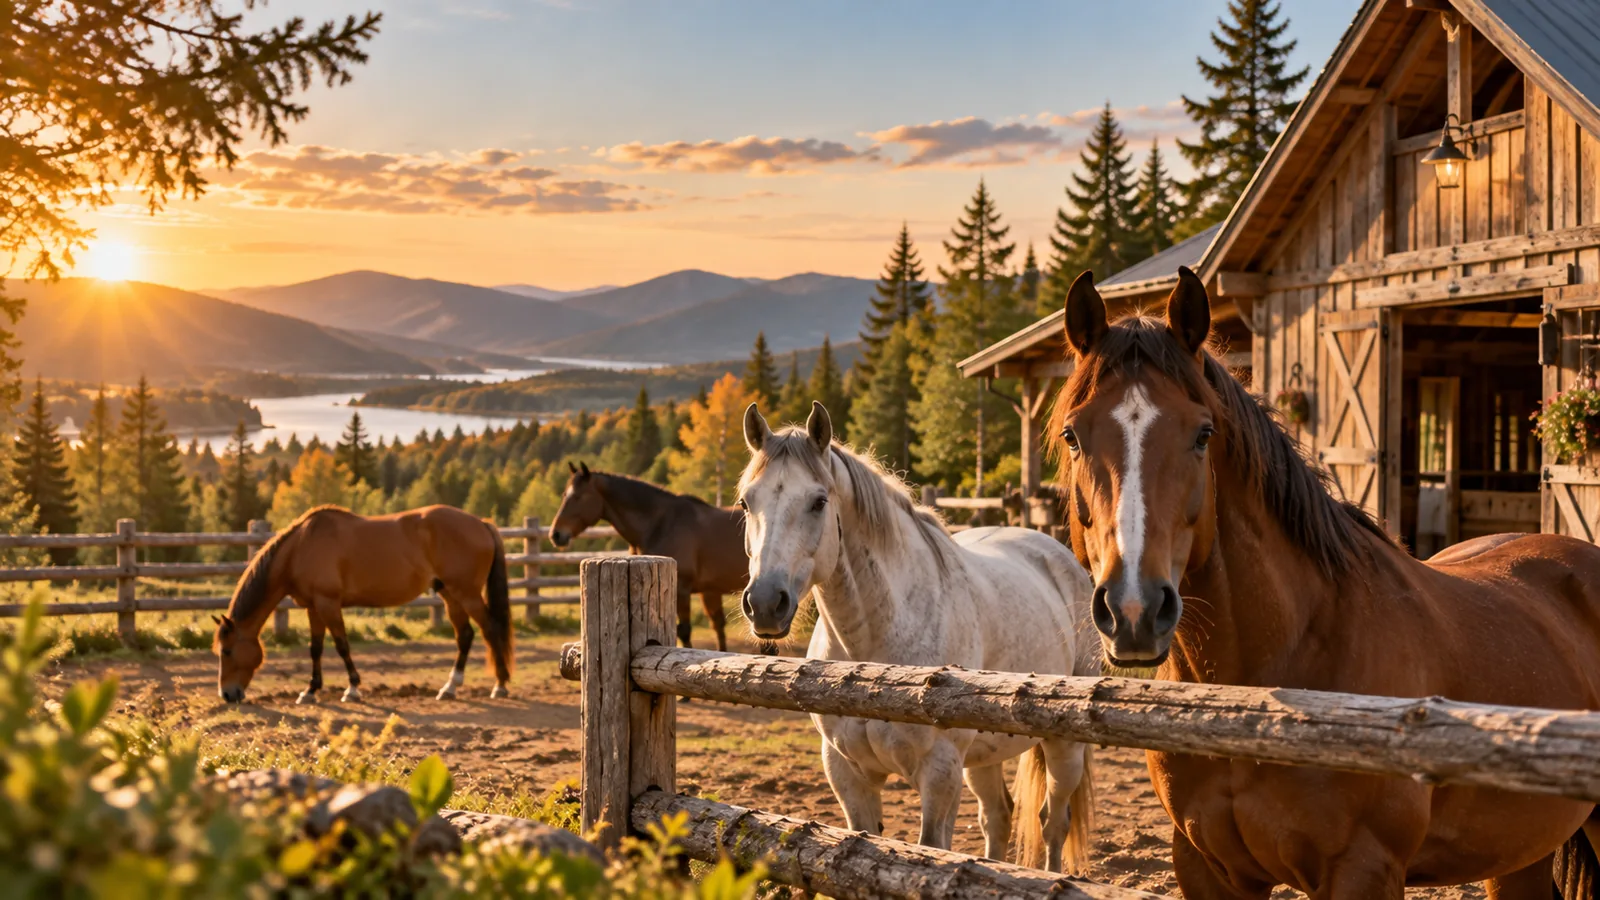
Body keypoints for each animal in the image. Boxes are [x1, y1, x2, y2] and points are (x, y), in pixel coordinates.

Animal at [213, 504, 513, 705]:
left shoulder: (328, 604)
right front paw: (310, 691)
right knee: (465, 635)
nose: (227, 694)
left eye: (227, 651)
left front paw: (352, 689)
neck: (300, 549)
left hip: (467, 593)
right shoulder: (313, 607)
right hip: (450, 594)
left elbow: (342, 645)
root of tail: (481, 523)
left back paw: (499, 685)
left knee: (490, 630)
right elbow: (315, 648)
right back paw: (450, 687)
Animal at [549, 462, 748, 651]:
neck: (660, 524)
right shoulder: (709, 591)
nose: (556, 534)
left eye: (578, 496)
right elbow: (718, 628)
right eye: (564, 495)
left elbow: (684, 631)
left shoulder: (682, 589)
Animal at [738, 401, 1099, 873]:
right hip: (982, 756)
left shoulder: (939, 772)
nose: (764, 603)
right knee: (998, 818)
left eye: (819, 501)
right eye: (746, 502)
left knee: (1054, 823)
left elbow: (933, 846)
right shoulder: (847, 773)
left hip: (1063, 747)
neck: (871, 666)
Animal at [1051, 266, 1600, 899]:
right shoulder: (1206, 867)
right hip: (1517, 853)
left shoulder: (1363, 871)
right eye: (1072, 436)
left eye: (1203, 434)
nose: (1134, 610)